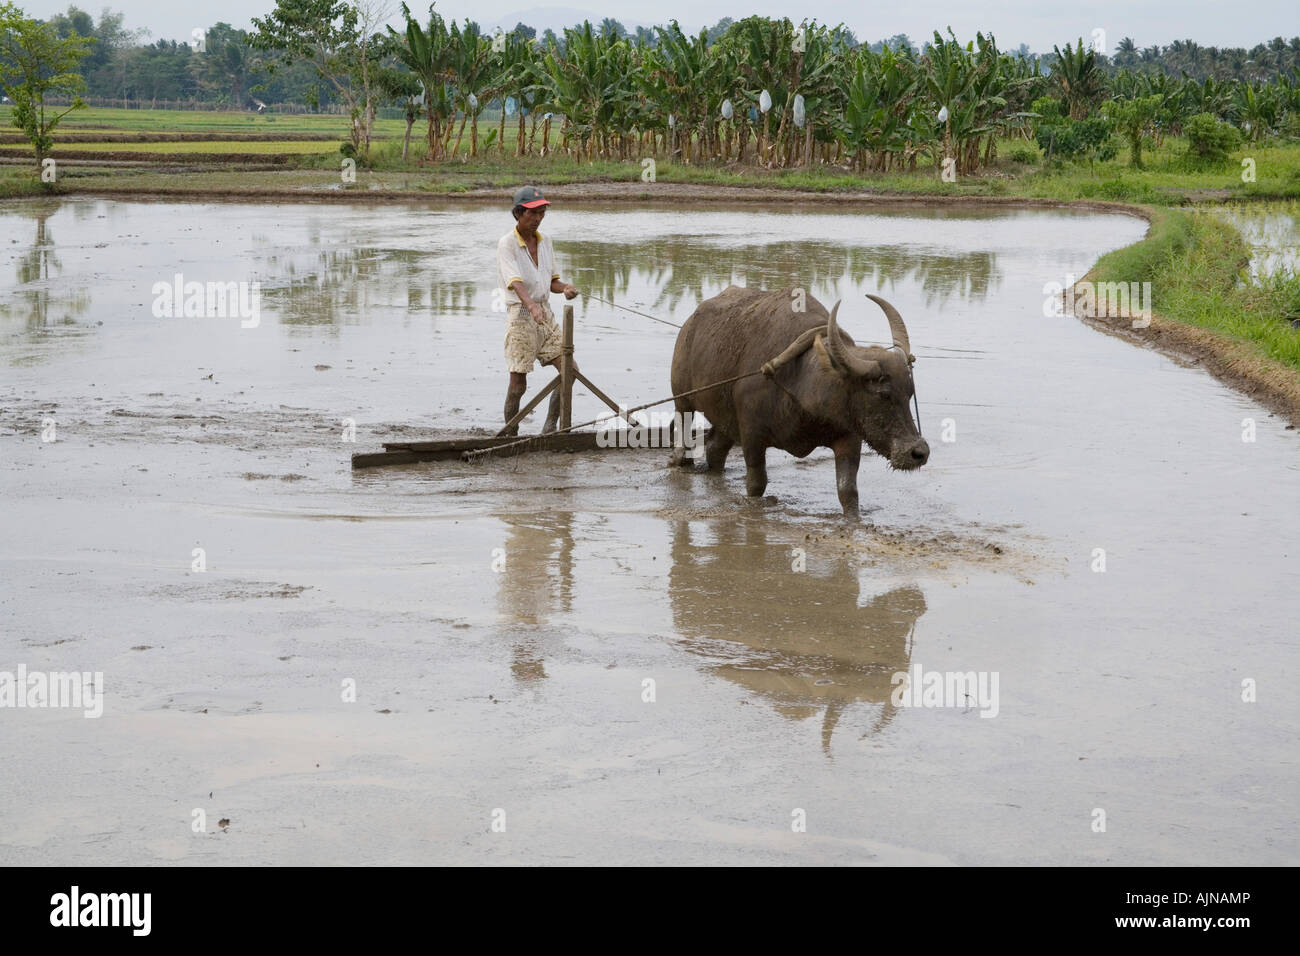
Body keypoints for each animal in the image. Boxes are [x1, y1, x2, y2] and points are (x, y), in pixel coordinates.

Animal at [665, 287, 930, 520]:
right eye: (883, 394)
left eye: (909, 393)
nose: (918, 452)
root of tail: (689, 324)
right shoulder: (752, 437)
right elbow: (756, 483)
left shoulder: (849, 436)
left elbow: (848, 491)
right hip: (683, 400)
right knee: (683, 441)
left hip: (725, 419)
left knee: (715, 450)